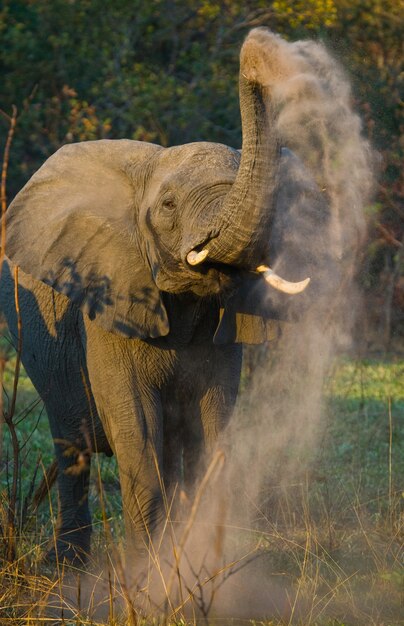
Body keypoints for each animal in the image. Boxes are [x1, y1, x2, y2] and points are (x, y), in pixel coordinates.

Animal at [0, 29, 334, 564]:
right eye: (170, 205)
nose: (256, 46)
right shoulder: (109, 303)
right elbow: (137, 434)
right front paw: (148, 571)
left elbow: (212, 428)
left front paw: (199, 565)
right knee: (73, 445)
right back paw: (68, 565)